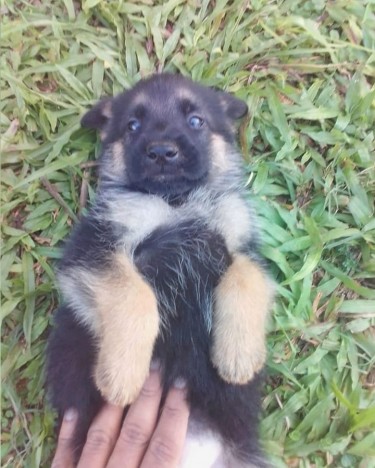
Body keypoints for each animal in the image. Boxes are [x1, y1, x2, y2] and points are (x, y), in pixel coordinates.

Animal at [47, 75, 274, 466]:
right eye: (132, 126)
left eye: (196, 120)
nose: (162, 152)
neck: (176, 201)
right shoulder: (94, 249)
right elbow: (134, 295)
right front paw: (121, 374)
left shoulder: (239, 249)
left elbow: (249, 279)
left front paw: (239, 355)